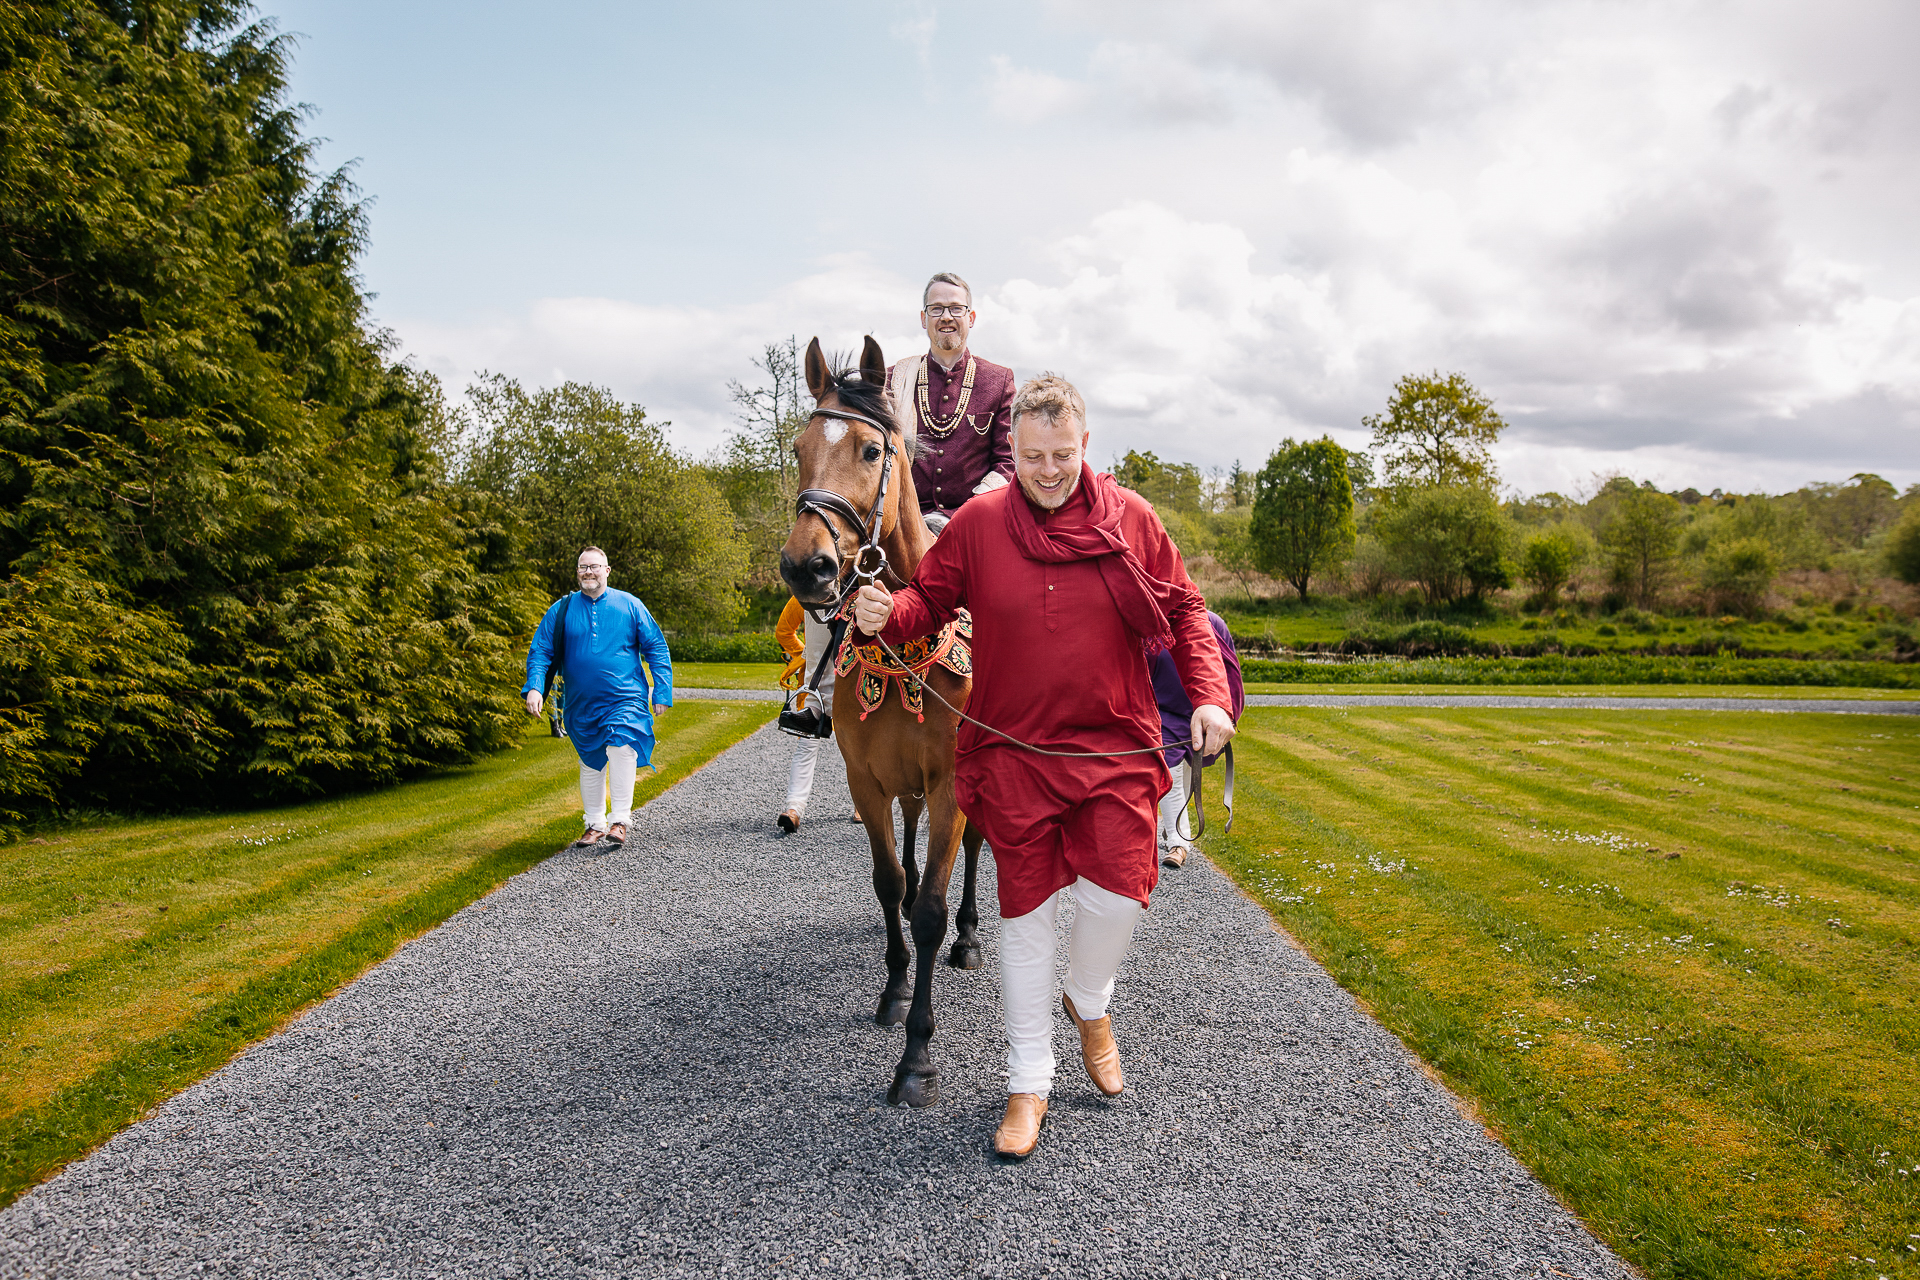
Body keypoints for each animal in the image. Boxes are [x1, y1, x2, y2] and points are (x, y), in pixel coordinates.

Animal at [779, 335, 990, 1105]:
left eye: (872, 450)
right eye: (799, 447)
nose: (806, 567)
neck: (902, 629)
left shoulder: (954, 782)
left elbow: (928, 907)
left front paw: (917, 1056)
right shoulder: (865, 779)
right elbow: (889, 882)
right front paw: (895, 990)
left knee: (974, 854)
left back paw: (969, 935)